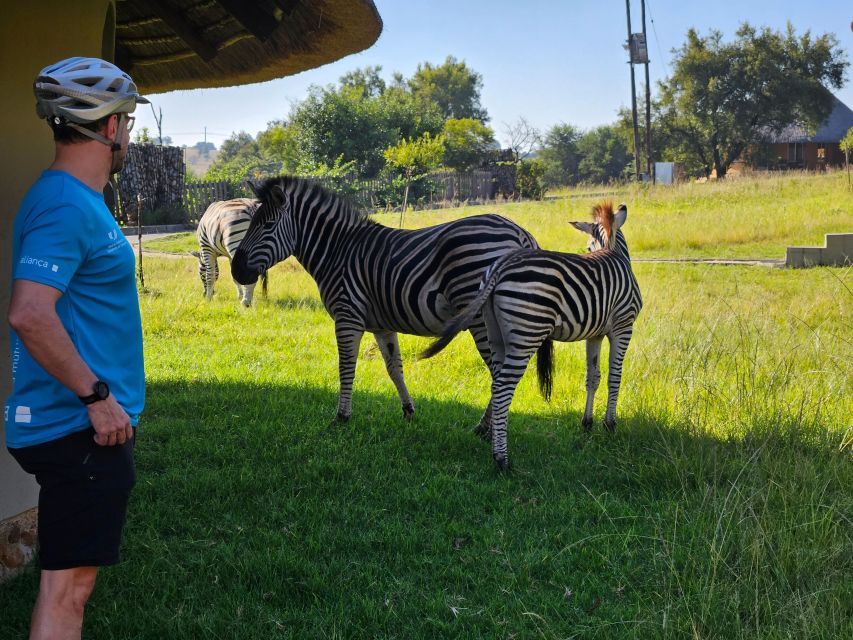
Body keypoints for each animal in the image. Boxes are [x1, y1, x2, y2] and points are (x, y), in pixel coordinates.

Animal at [231, 178, 540, 422]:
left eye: (268, 225)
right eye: (251, 224)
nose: (236, 270)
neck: (336, 251)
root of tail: (521, 233)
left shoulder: (347, 316)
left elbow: (346, 366)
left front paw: (342, 417)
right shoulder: (382, 324)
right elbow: (395, 368)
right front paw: (408, 411)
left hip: (482, 319)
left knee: (501, 372)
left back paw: (485, 428)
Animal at [420, 201, 640, 470]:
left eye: (589, 247)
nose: (590, 252)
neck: (615, 255)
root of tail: (501, 265)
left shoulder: (595, 334)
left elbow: (593, 377)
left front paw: (587, 423)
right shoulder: (623, 326)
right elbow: (615, 377)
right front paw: (610, 425)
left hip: (495, 332)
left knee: (496, 382)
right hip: (526, 333)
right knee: (503, 386)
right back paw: (501, 459)